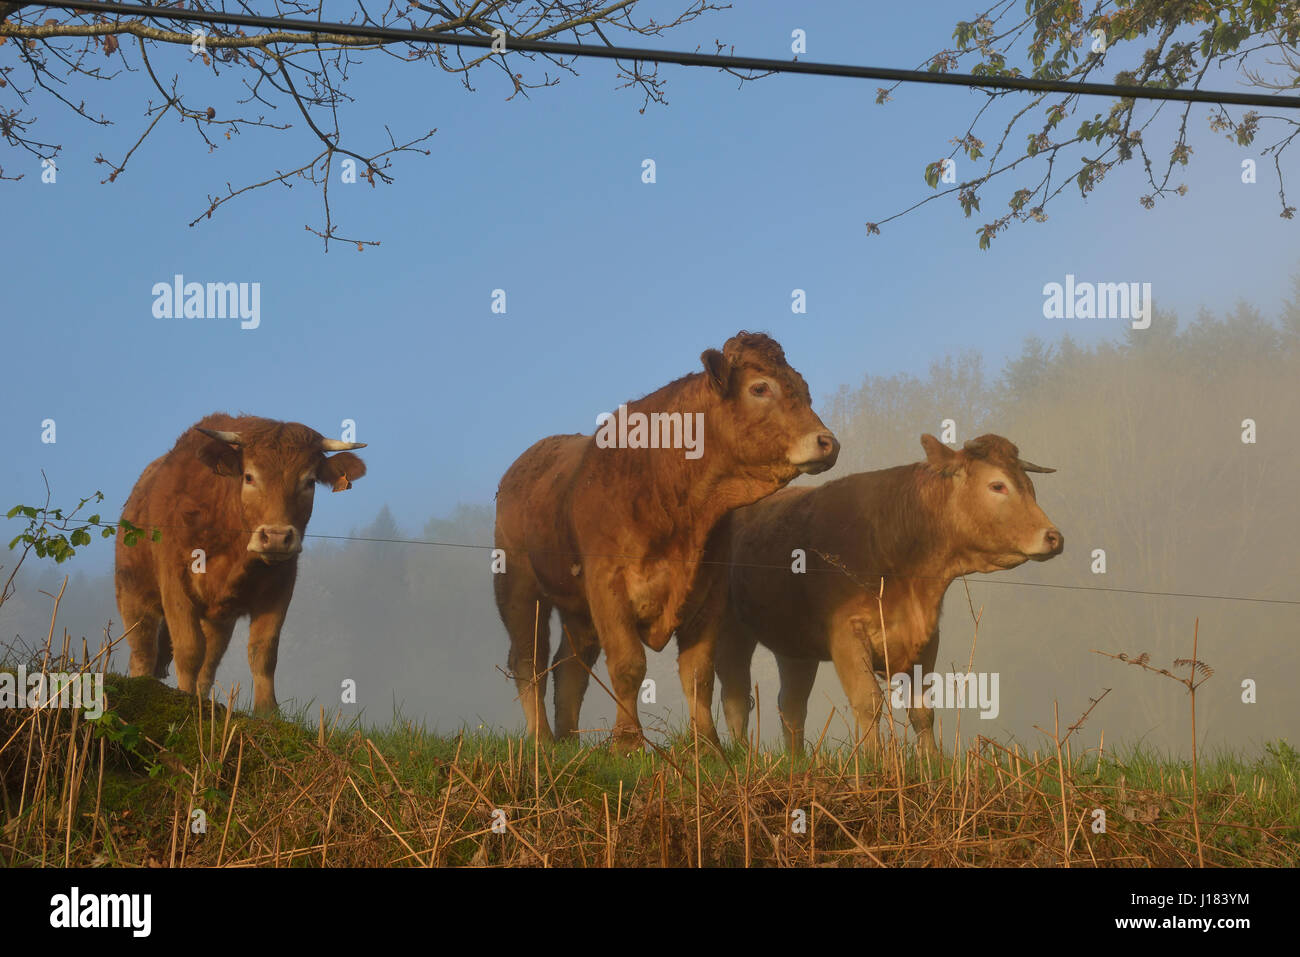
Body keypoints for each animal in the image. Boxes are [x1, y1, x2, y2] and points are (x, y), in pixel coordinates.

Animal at [115, 410, 366, 712]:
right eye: (249, 477)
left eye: (309, 481)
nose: (276, 537)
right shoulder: (175, 583)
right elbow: (188, 648)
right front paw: (184, 700)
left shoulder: (280, 586)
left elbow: (263, 651)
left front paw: (268, 711)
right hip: (134, 594)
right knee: (143, 650)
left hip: (218, 619)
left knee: (209, 662)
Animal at [491, 332, 837, 748]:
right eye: (759, 388)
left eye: (803, 390)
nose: (827, 442)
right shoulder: (608, 586)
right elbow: (628, 665)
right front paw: (627, 743)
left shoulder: (708, 592)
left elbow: (698, 673)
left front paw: (708, 745)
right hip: (518, 588)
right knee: (529, 660)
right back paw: (542, 740)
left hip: (579, 611)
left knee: (570, 666)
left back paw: (568, 742)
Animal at [676, 434, 1060, 754]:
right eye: (998, 485)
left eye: (1030, 486)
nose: (1054, 537)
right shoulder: (846, 634)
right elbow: (868, 702)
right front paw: (876, 763)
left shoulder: (926, 638)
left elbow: (922, 712)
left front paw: (932, 763)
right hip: (730, 629)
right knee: (736, 696)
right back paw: (743, 758)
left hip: (796, 648)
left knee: (791, 706)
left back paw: (797, 762)